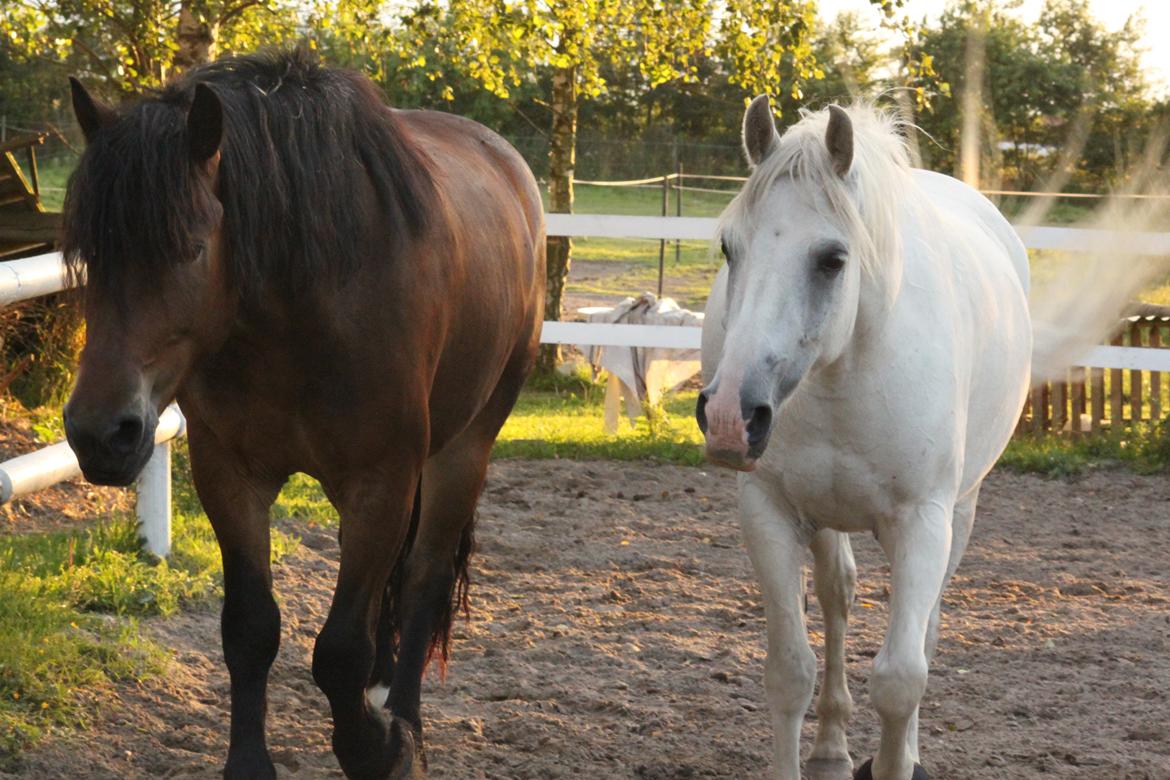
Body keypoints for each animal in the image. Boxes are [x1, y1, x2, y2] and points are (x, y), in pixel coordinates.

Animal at [59, 50, 542, 780]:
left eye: (192, 247)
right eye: (90, 252)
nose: (99, 433)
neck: (299, 310)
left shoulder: (380, 483)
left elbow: (339, 649)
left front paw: (380, 747)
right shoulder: (230, 477)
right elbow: (251, 628)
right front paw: (250, 763)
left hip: (465, 448)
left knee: (424, 579)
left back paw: (405, 719)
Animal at [697, 99, 1029, 780]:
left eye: (832, 258)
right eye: (728, 247)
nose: (729, 416)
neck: (846, 367)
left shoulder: (924, 521)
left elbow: (902, 679)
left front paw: (899, 759)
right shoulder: (768, 512)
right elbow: (789, 673)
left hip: (960, 511)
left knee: (925, 629)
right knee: (837, 598)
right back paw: (830, 749)